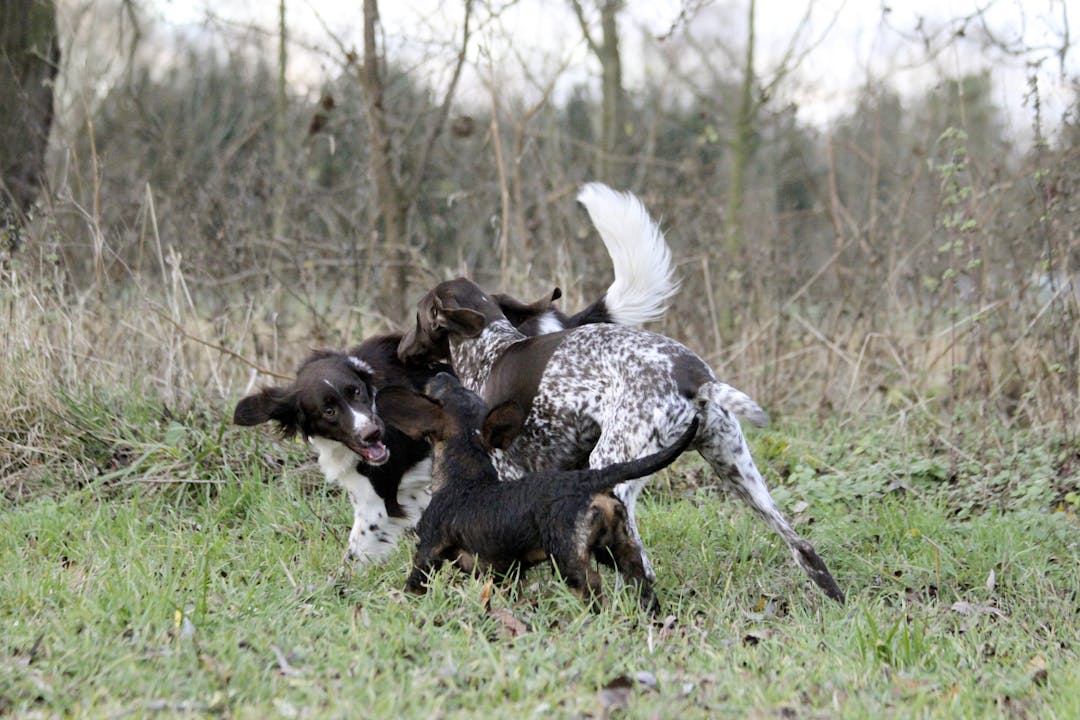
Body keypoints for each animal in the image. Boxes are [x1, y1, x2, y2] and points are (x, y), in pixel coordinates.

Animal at [378, 371, 699, 613]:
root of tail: (590, 478)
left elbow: (414, 584)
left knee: (592, 588)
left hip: (569, 557)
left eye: (441, 392)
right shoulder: (507, 572)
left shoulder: (428, 549)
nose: (441, 373)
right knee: (641, 580)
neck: (465, 476)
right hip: (619, 545)